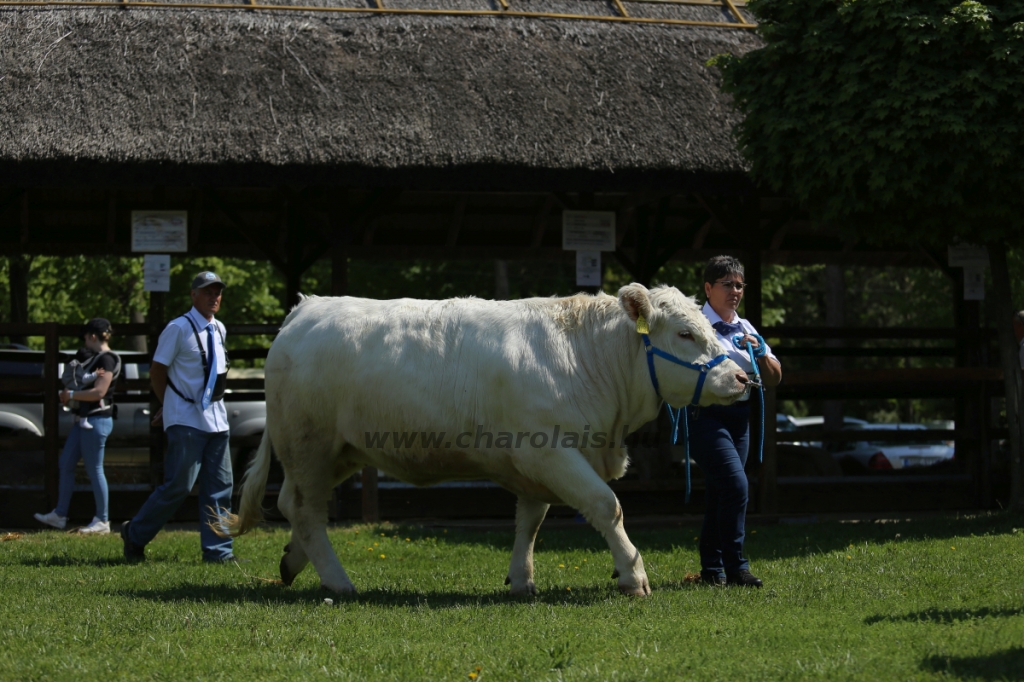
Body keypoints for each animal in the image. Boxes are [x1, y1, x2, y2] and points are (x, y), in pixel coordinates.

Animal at [222, 284, 745, 593]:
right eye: (685, 333)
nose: (742, 377)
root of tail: (306, 308)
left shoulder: (536, 461)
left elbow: (530, 521)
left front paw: (521, 580)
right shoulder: (553, 451)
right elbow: (606, 505)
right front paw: (633, 574)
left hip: (337, 452)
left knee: (294, 504)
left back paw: (293, 562)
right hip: (309, 444)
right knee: (306, 510)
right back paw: (339, 582)